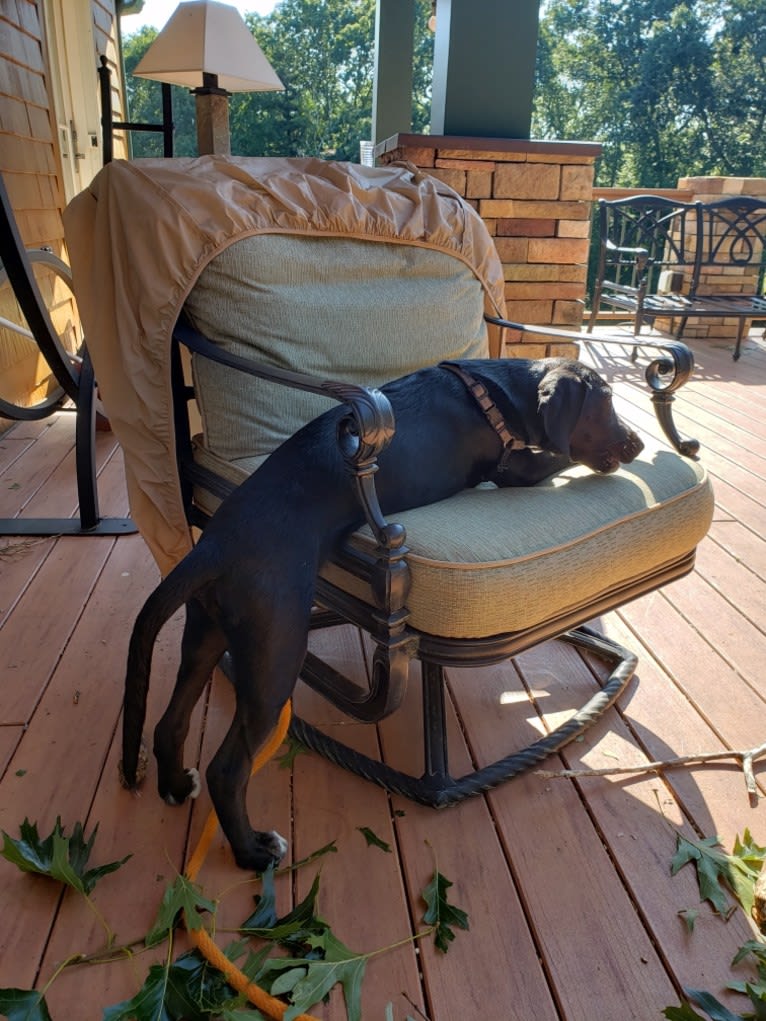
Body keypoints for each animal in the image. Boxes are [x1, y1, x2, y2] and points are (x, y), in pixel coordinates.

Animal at [123, 359, 645, 869]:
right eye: (605, 402)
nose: (639, 443)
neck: (494, 393)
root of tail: (213, 547)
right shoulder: (516, 469)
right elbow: (562, 456)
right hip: (275, 653)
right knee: (227, 770)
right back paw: (252, 852)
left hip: (207, 634)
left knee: (170, 723)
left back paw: (175, 786)